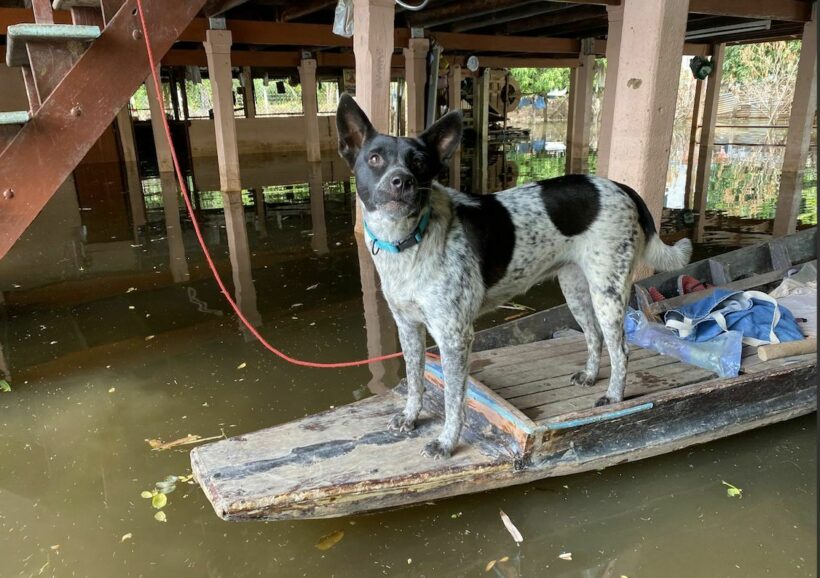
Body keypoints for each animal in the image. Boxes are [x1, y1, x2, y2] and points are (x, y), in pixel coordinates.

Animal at [334, 94, 692, 460]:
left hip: (608, 292)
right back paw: (591, 377)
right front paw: (410, 417)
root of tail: (621, 186)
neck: (409, 242)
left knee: (620, 350)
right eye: (374, 158)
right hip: (576, 290)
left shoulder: (454, 336)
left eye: (419, 162)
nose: (401, 181)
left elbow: (453, 400)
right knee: (593, 336)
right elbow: (415, 378)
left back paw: (614, 398)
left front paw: (447, 442)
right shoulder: (408, 327)